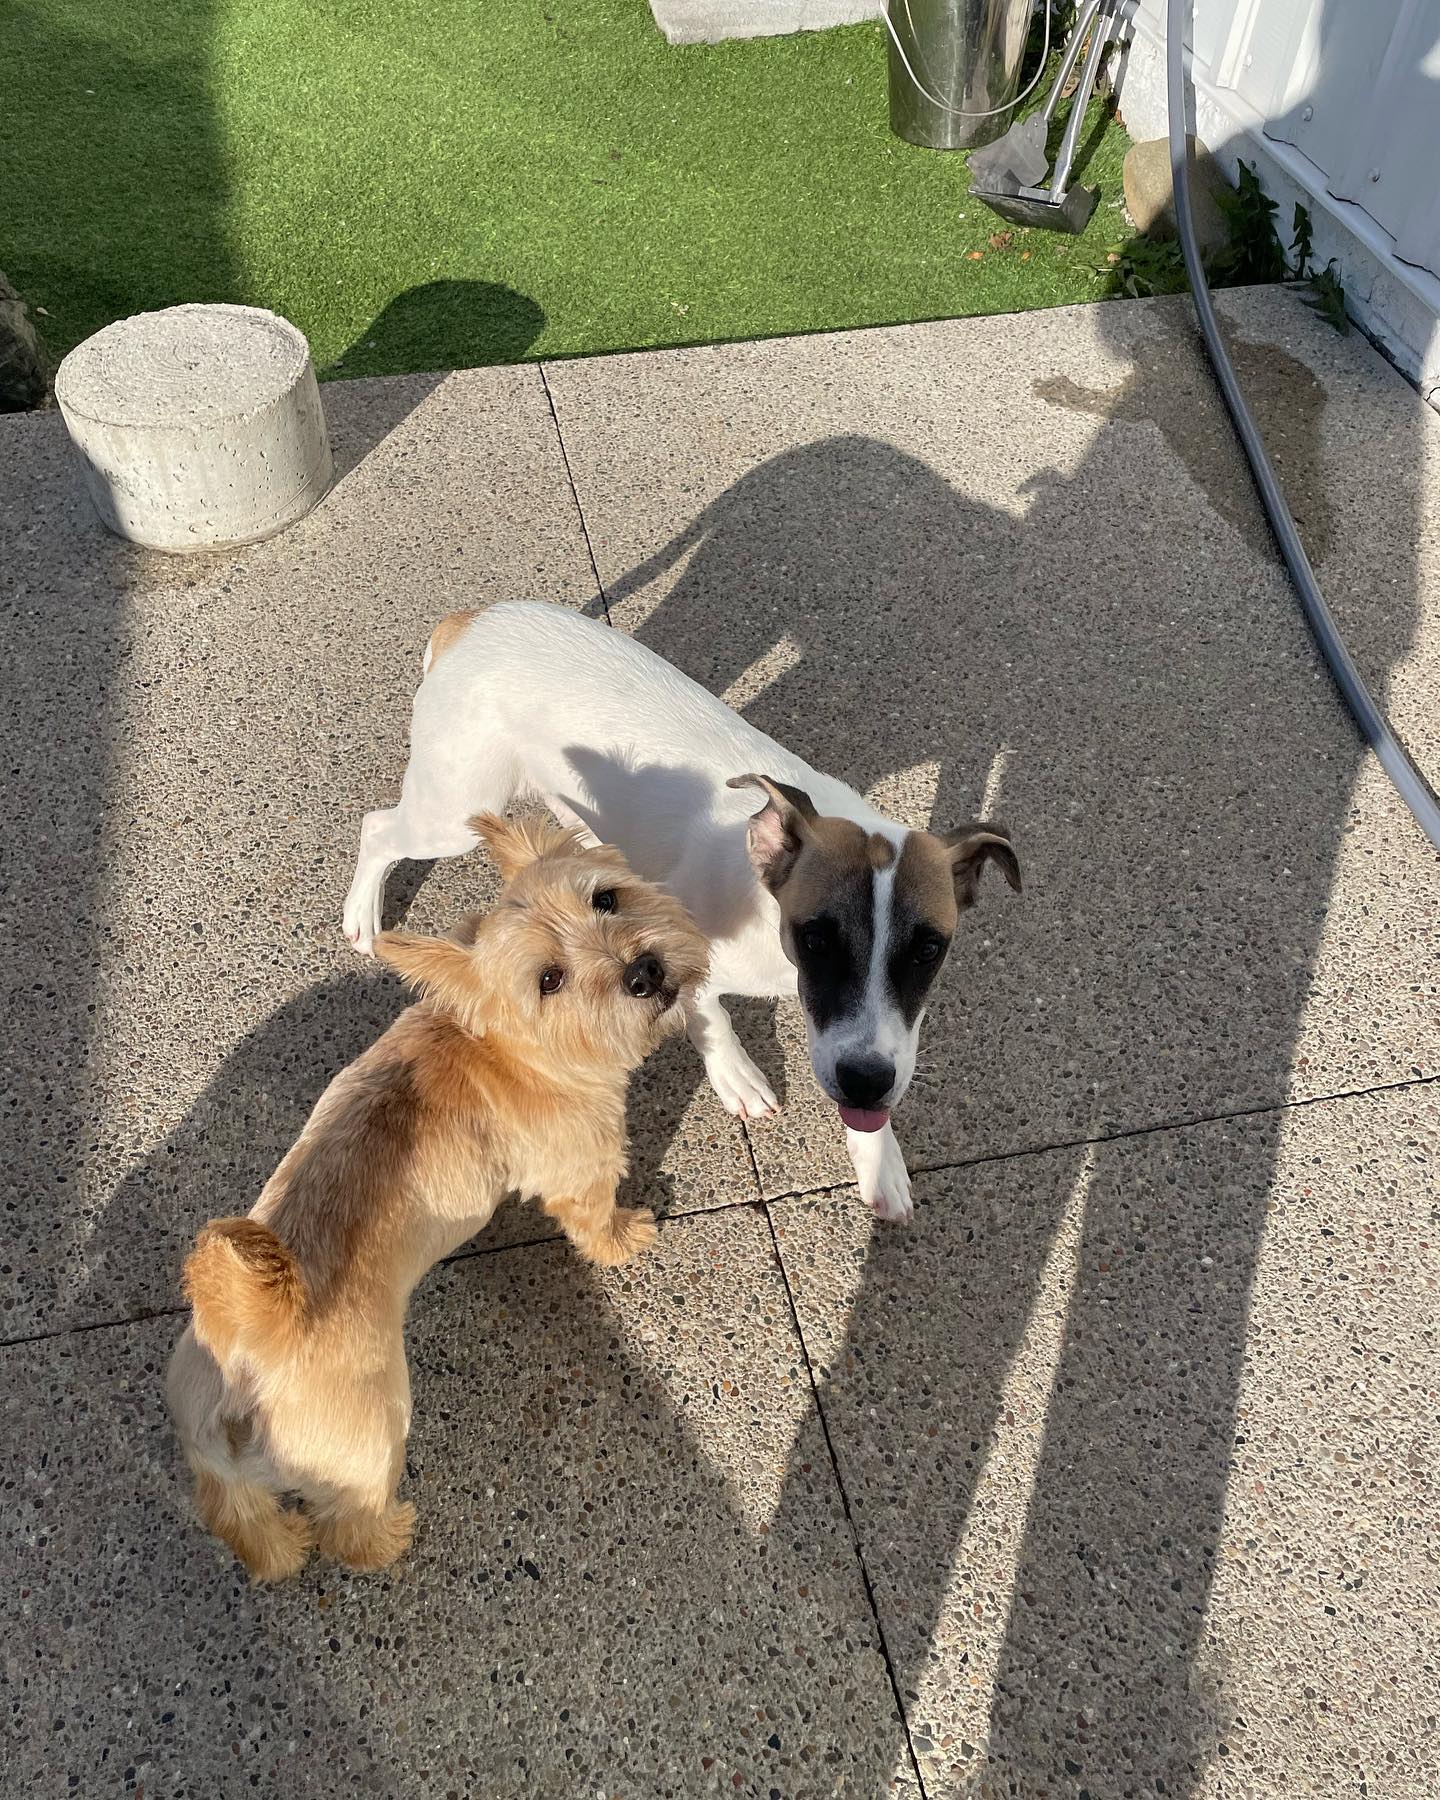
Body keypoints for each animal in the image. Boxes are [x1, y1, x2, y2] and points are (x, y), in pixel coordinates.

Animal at [169, 814, 709, 1581]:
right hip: (374, 1441)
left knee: (243, 1521)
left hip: (214, 1461)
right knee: (349, 1528)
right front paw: (624, 1237)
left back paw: (280, 1548)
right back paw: (389, 1536)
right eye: (549, 979)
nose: (645, 971)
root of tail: (252, 1332)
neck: (505, 1043)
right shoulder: (583, 1167)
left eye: (606, 899)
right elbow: (595, 1217)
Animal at [343, 602, 1020, 1223]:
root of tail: (471, 619)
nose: (864, 1082)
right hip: (455, 809)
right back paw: (363, 917)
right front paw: (737, 1076)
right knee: (377, 828)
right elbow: (709, 1016)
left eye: (929, 949)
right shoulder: (687, 960)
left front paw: (878, 1159)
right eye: (817, 939)